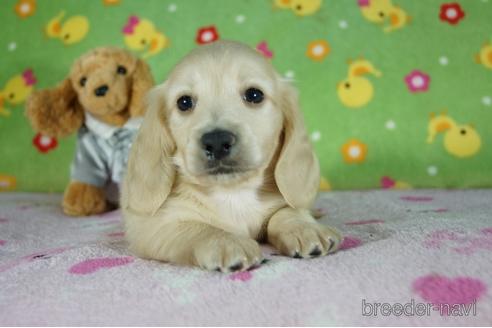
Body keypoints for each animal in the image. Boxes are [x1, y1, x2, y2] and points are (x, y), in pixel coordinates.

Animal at [122, 40, 342, 272]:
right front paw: (227, 242)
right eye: (184, 102)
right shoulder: (153, 226)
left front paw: (306, 229)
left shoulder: (284, 203)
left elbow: (287, 212)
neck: (233, 192)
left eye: (254, 95)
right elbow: (197, 227)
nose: (217, 141)